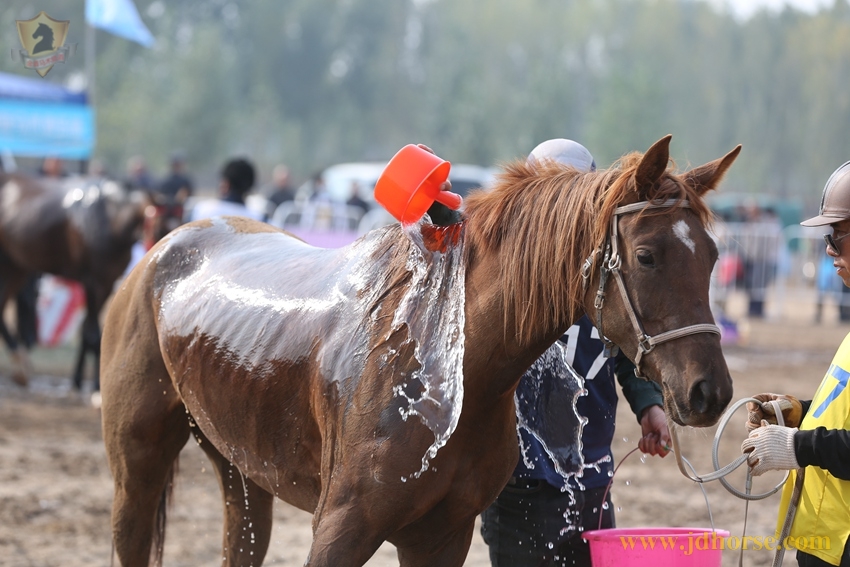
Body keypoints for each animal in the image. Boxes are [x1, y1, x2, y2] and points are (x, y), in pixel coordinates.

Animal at [0, 173, 145, 392]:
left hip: (16, 268)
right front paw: (96, 386)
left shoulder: (107, 282)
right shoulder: (93, 282)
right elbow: (93, 334)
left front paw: (81, 380)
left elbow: (88, 329)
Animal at [97, 135, 736, 564]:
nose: (710, 391)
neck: (441, 369)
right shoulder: (341, 526)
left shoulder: (442, 534)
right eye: (648, 255)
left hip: (244, 473)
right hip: (137, 467)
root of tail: (162, 248)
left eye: (710, 254)